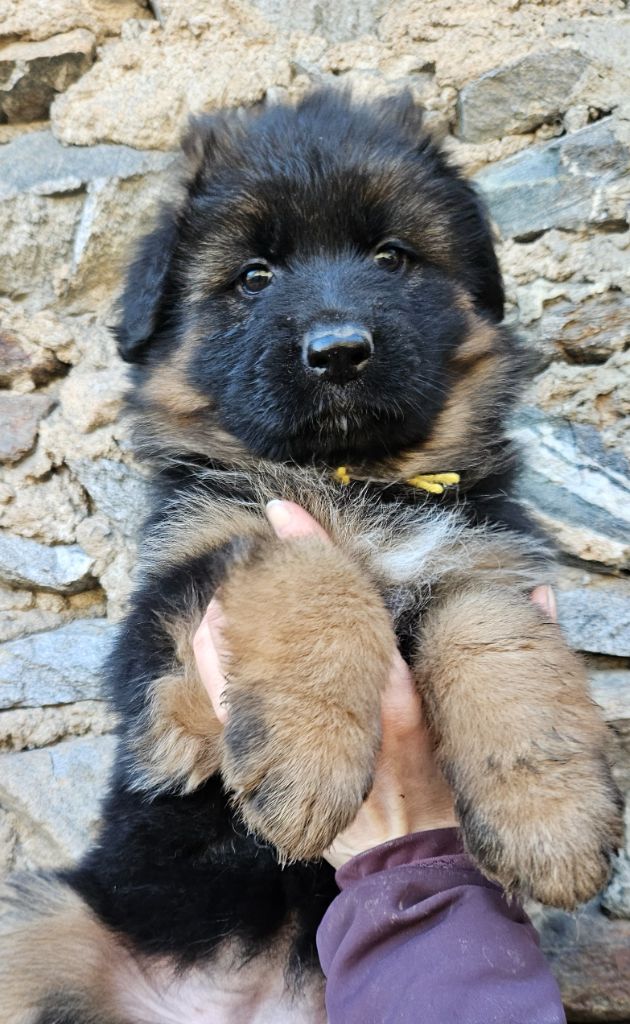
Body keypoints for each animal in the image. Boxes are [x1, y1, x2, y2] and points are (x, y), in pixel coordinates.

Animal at [0, 90, 622, 1024]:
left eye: (391, 257)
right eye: (255, 276)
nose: (339, 351)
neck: (356, 479)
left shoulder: (481, 551)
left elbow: (498, 635)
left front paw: (552, 818)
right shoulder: (168, 667)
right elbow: (305, 569)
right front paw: (306, 758)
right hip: (37, 918)